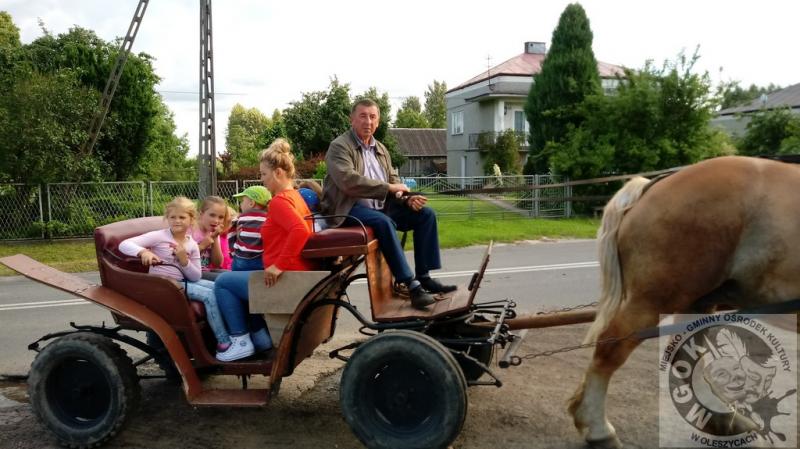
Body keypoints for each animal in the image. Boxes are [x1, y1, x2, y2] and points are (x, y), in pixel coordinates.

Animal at [567, 155, 800, 448]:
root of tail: (653, 186)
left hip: (696, 303)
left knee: (689, 359)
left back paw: (723, 420)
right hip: (653, 300)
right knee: (611, 347)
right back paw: (599, 428)